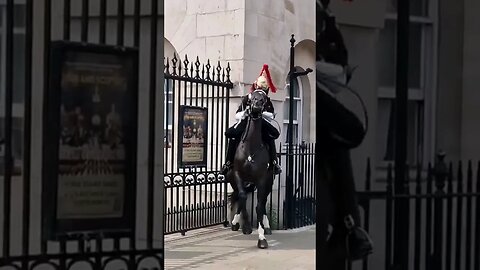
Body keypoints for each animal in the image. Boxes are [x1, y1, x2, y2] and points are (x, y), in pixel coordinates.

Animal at [227, 90, 276, 249]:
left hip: (268, 181)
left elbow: (260, 205)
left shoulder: (262, 179)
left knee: (262, 201)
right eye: (251, 97)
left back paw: (267, 227)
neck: (251, 147)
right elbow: (242, 197)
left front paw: (261, 238)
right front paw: (238, 223)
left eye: (264, 99)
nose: (256, 106)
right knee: (238, 196)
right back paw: (242, 225)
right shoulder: (238, 175)